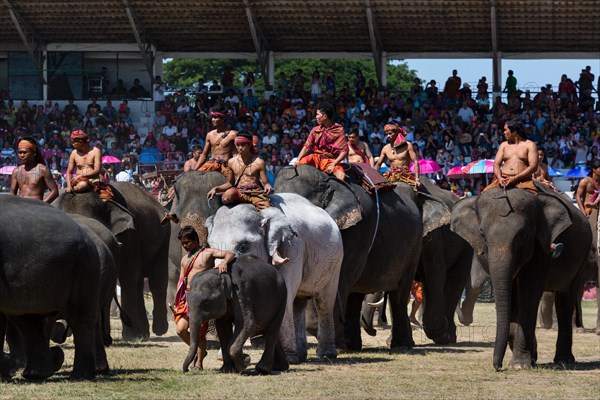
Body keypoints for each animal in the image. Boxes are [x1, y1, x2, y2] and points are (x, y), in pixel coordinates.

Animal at [53, 183, 170, 340]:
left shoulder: (130, 235)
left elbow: (128, 274)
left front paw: (130, 336)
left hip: (164, 234)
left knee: (156, 280)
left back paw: (158, 330)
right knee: (139, 282)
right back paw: (143, 333)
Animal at [206, 192, 344, 364]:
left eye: (243, 247)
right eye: (211, 247)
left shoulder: (291, 249)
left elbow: (284, 296)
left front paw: (288, 359)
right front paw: (222, 357)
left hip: (335, 260)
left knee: (324, 302)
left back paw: (326, 354)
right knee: (298, 304)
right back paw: (301, 355)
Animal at [274, 164, 424, 352]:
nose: (375, 331)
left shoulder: (359, 229)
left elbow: (336, 281)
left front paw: (332, 345)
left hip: (414, 247)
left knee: (399, 294)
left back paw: (401, 346)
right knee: (355, 295)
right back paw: (352, 345)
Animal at [454, 187, 592, 368]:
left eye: (523, 235)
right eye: (482, 234)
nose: (497, 366)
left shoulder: (541, 247)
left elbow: (528, 293)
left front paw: (520, 364)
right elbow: (512, 297)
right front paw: (528, 359)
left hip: (582, 256)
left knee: (566, 299)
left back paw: (564, 361)